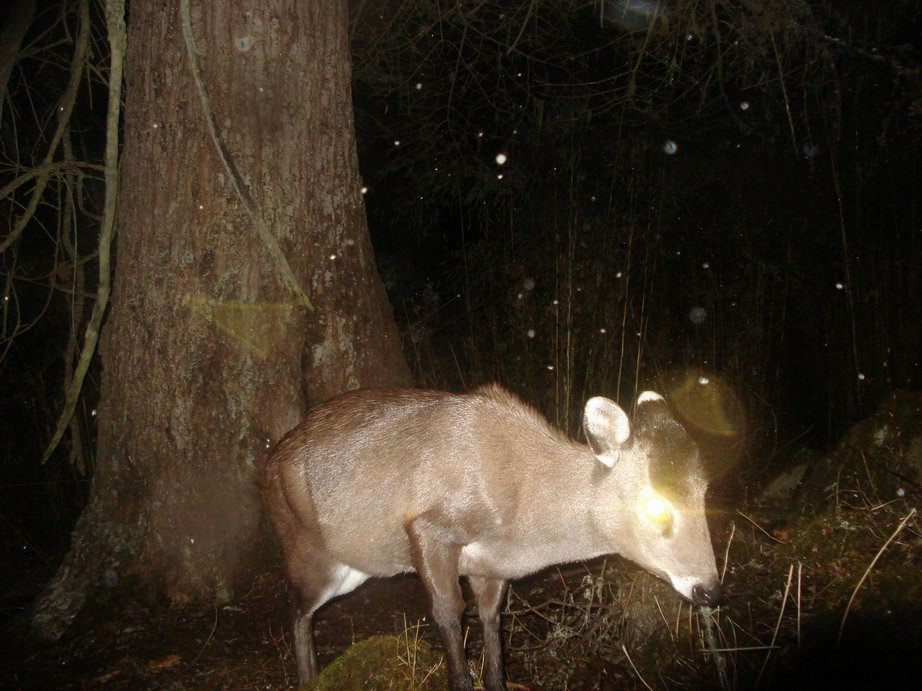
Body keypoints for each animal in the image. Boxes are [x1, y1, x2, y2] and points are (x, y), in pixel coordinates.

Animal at [258, 386, 720, 688]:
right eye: (657, 506)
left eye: (705, 493)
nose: (710, 590)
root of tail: (269, 461)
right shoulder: (429, 527)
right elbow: (448, 613)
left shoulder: (491, 566)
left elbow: (492, 622)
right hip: (305, 545)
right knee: (296, 608)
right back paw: (308, 678)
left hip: (354, 568)